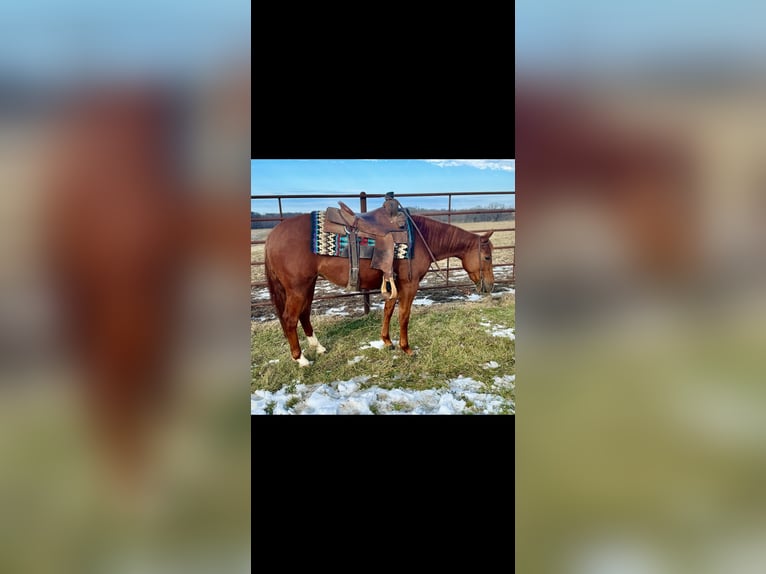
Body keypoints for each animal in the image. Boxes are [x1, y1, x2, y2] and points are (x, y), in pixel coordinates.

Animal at [266, 213, 498, 368]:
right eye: (487, 257)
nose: (490, 286)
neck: (420, 238)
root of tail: (272, 236)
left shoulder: (393, 283)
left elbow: (388, 310)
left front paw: (387, 341)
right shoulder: (409, 285)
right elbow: (404, 315)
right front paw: (406, 348)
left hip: (309, 285)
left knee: (304, 314)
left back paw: (319, 348)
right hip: (298, 288)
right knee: (290, 319)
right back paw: (301, 359)